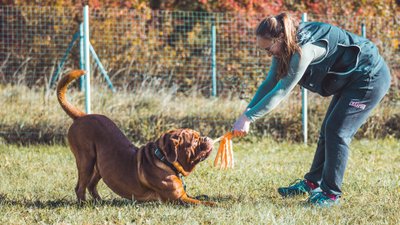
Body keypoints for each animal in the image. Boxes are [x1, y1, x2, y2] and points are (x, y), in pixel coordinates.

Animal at [56, 70, 216, 206]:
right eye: (194, 141)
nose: (206, 138)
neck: (163, 159)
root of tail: (81, 116)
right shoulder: (178, 199)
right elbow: (203, 202)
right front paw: (215, 205)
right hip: (86, 161)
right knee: (80, 187)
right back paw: (83, 204)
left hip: (99, 166)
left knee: (91, 185)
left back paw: (100, 202)